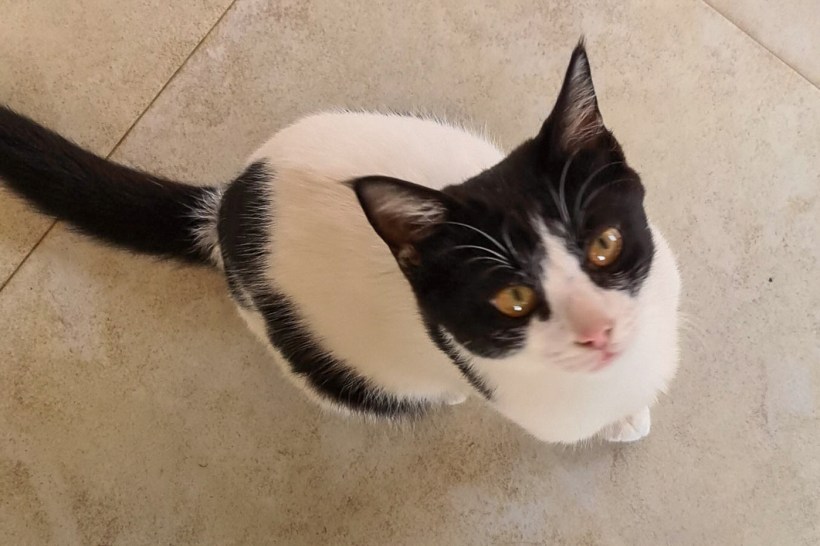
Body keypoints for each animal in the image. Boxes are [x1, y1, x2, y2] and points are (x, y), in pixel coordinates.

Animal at [0, 42, 680, 444]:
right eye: (513, 299)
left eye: (605, 244)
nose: (599, 331)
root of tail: (225, 209)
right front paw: (622, 420)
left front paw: (630, 407)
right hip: (323, 360)